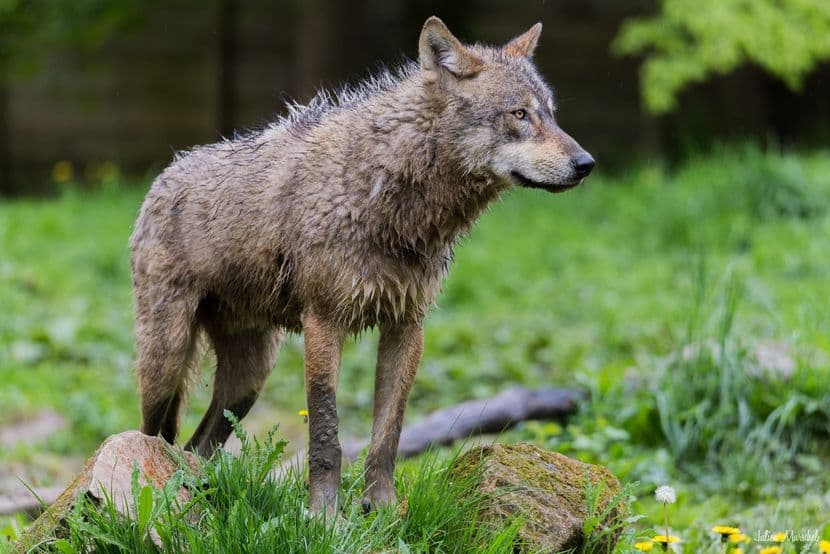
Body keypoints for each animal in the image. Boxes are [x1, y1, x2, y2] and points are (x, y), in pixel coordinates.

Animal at [131, 16, 594, 514]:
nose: (586, 163)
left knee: (195, 447)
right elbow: (326, 434)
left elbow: (387, 433)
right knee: (148, 436)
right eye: (519, 114)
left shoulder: (407, 326)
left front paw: (383, 508)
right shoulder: (323, 323)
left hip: (248, 380)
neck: (390, 196)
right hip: (167, 362)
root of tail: (164, 174)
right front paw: (324, 515)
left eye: (551, 113)